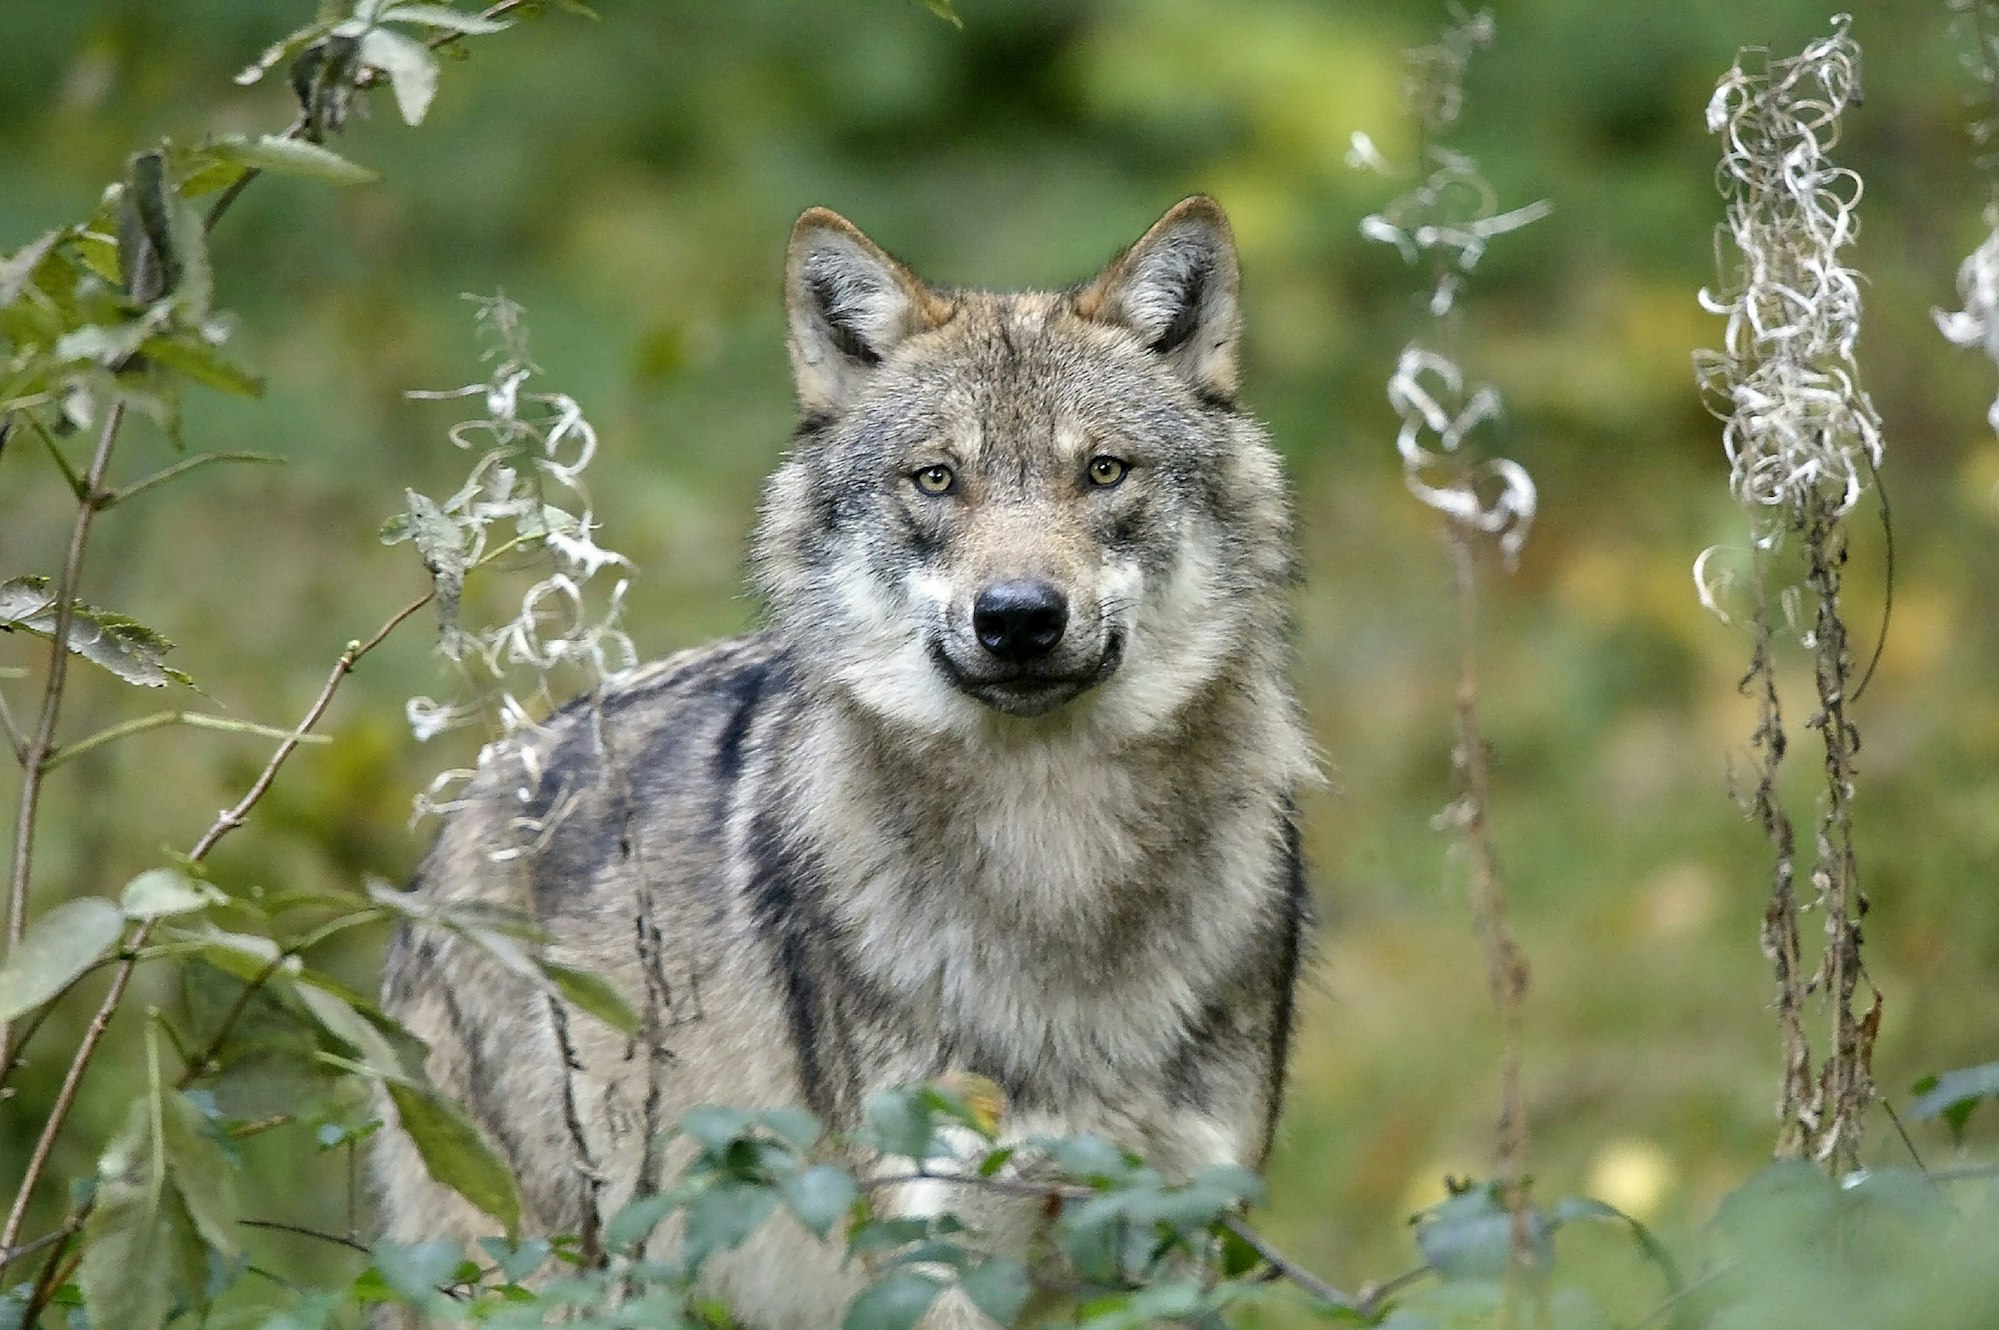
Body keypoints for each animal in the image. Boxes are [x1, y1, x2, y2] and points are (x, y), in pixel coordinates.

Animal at [372, 196, 1314, 1327]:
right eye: (936, 479)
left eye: (1103, 471)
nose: (1018, 618)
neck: (1052, 857)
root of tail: (462, 815)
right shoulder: (933, 1244)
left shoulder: (1184, 1238)